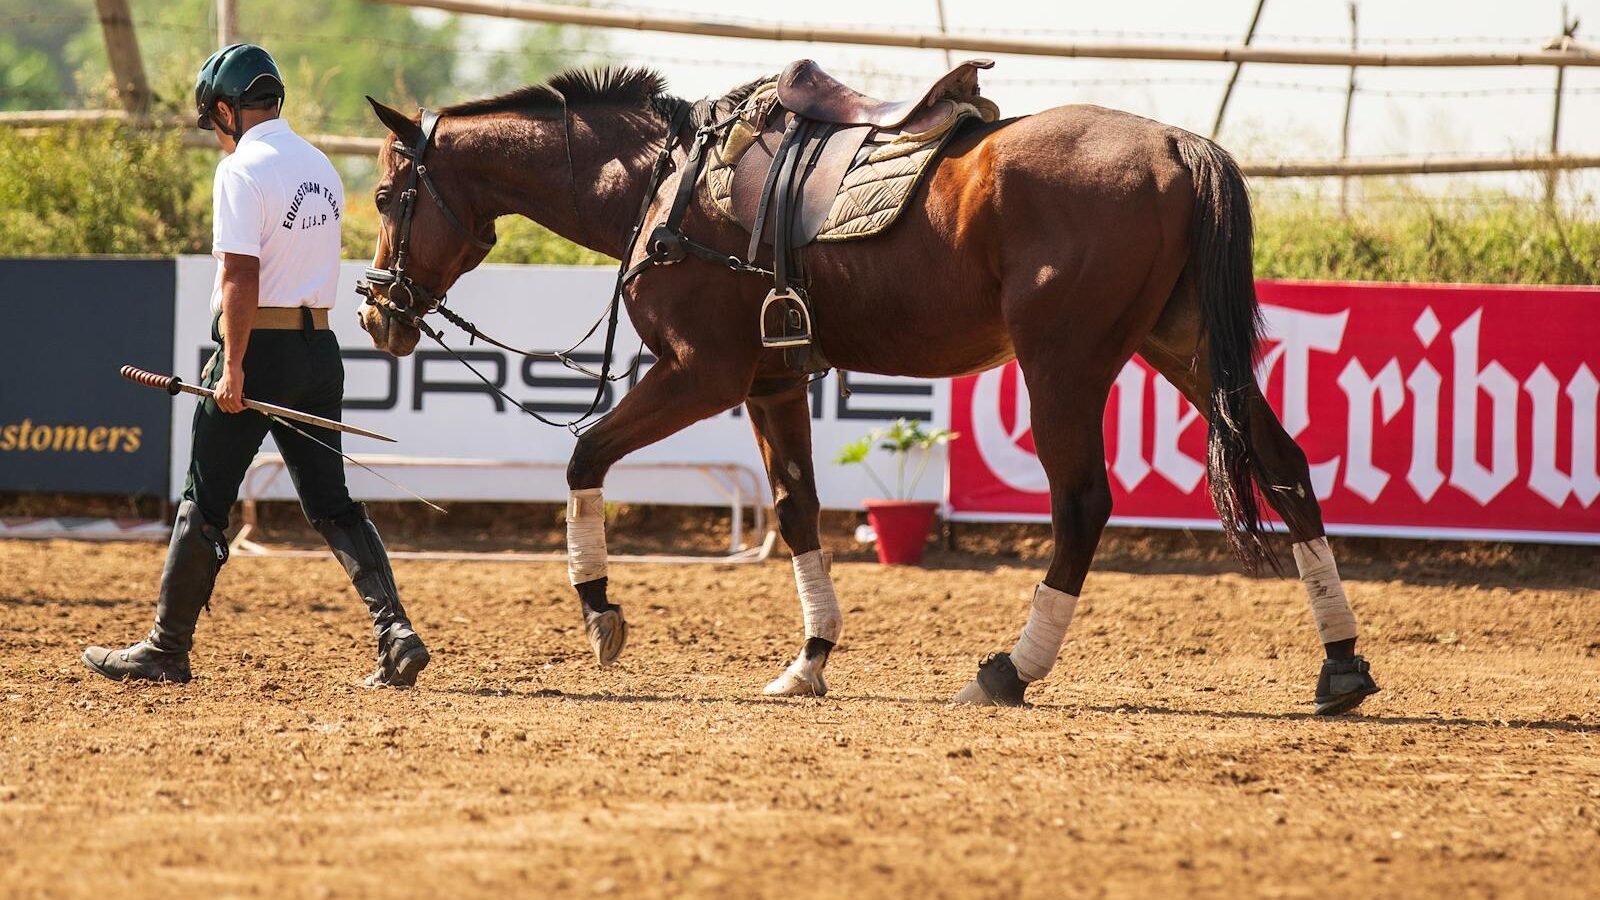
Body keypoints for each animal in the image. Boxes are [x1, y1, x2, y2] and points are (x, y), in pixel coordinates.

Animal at [356, 66, 1380, 714]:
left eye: (384, 196)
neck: (664, 184)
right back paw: (1341, 665)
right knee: (1285, 466)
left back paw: (1009, 670)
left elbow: (584, 454)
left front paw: (600, 610)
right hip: (1186, 351)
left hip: (1064, 364)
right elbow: (797, 509)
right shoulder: (772, 383)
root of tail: (1173, 144)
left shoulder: (700, 374)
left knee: (1083, 504)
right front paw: (808, 660)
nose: (376, 314)